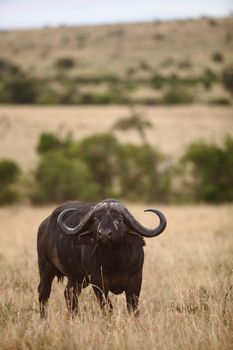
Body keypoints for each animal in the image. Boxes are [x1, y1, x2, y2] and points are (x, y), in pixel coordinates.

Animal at [37, 200, 167, 318]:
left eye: (118, 219)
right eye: (96, 219)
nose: (104, 234)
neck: (115, 261)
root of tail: (44, 225)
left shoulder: (136, 279)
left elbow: (132, 307)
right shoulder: (98, 282)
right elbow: (107, 307)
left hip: (76, 278)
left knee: (69, 294)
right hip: (45, 267)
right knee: (43, 294)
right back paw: (44, 319)